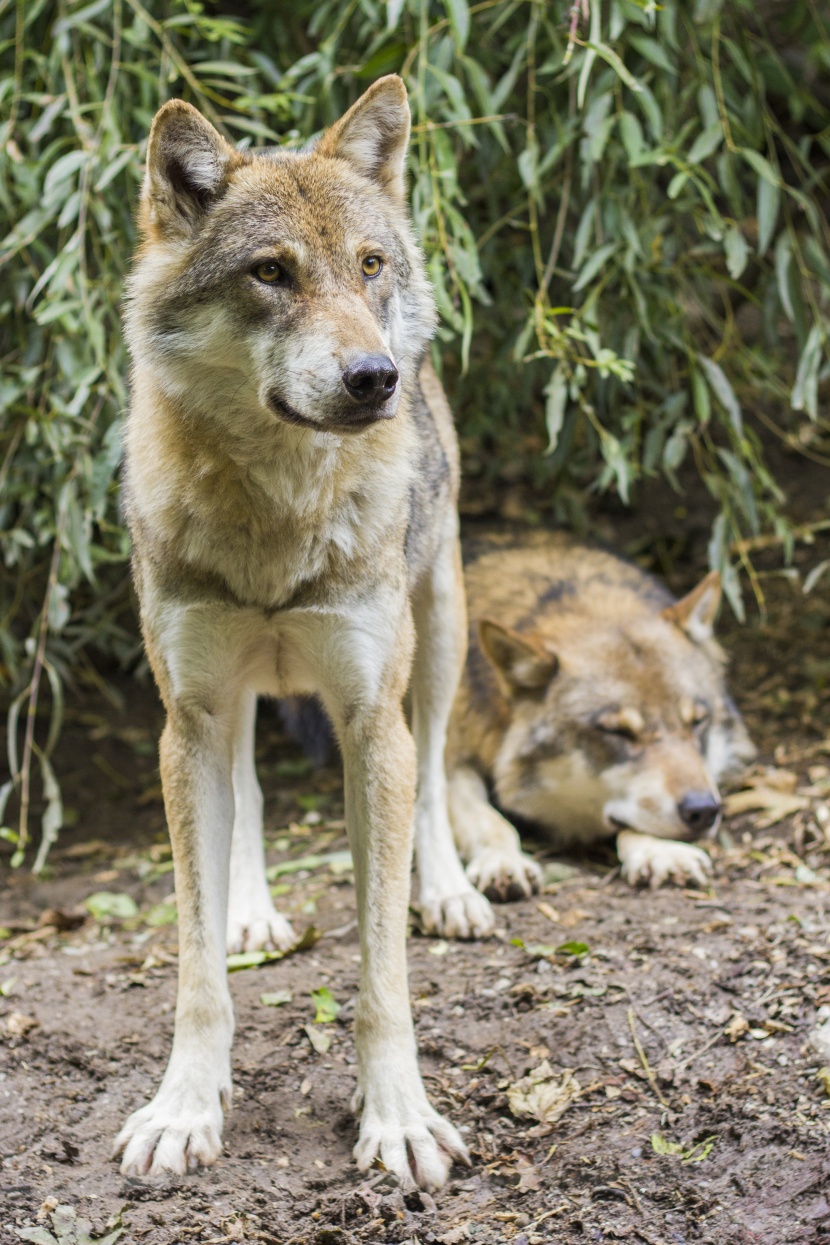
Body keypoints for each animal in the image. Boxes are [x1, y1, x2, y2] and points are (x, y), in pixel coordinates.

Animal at [116, 75, 492, 1185]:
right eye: (271, 273)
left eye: (366, 265)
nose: (375, 378)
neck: (277, 515)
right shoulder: (189, 715)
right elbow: (195, 967)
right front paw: (184, 1109)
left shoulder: (371, 719)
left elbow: (382, 970)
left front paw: (398, 1119)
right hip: (227, 699)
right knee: (243, 790)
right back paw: (252, 911)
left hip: (439, 634)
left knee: (437, 770)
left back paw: (452, 892)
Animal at [447, 530, 761, 901]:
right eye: (618, 732)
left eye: (697, 722)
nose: (703, 810)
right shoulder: (444, 759)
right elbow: (485, 818)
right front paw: (502, 861)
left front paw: (660, 851)